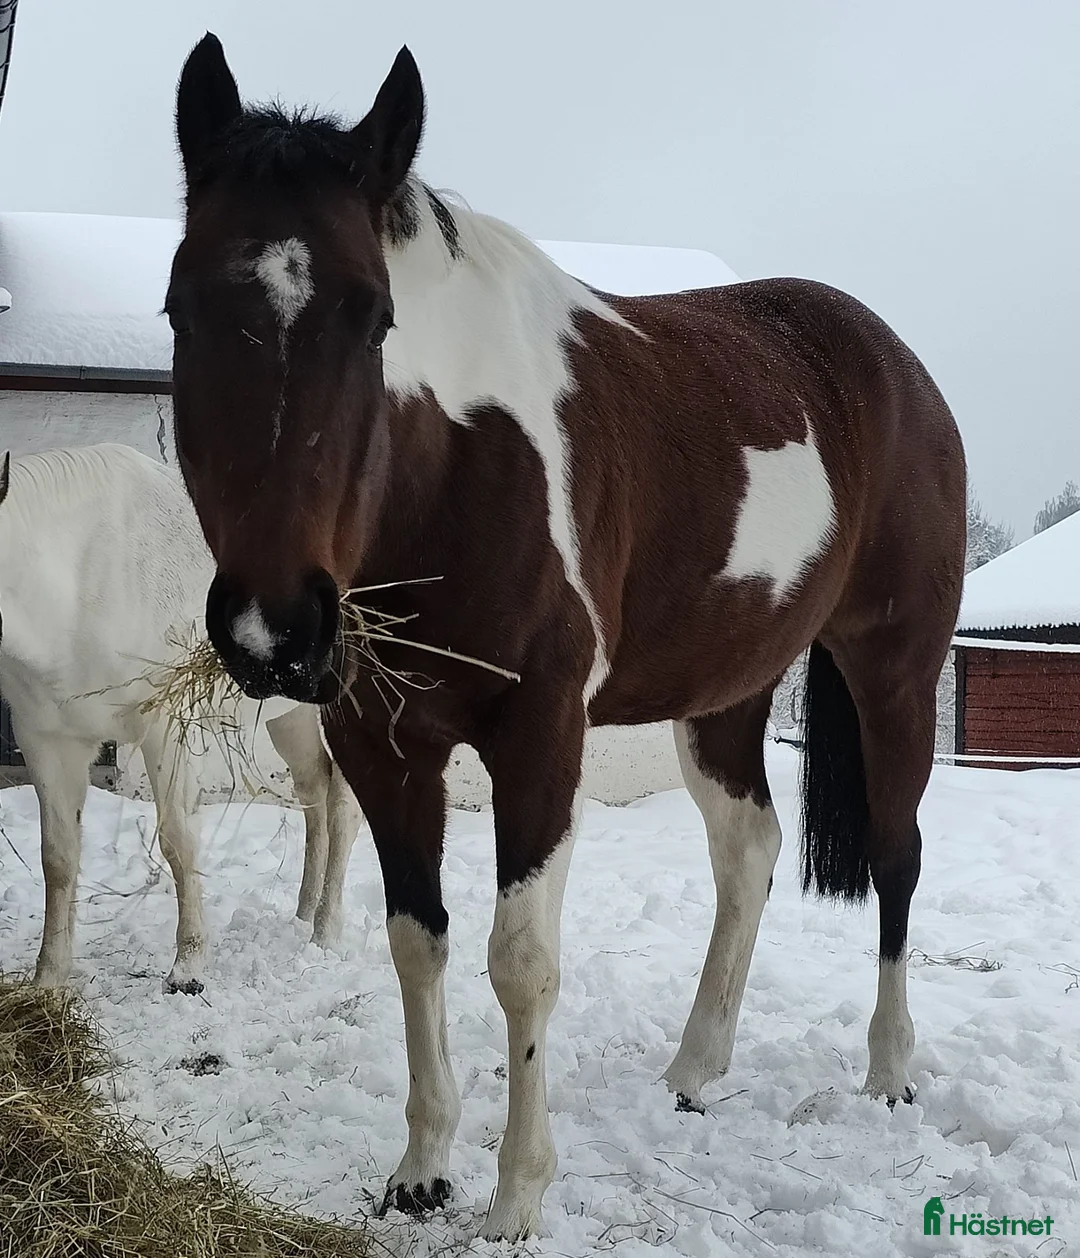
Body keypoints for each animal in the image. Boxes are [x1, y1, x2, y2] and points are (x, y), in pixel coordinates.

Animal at [0, 443, 363, 992]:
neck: (76, 582)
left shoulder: (166, 730)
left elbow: (179, 842)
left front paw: (188, 967)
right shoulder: (46, 741)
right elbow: (57, 857)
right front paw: (49, 979)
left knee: (342, 806)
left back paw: (325, 932)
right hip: (289, 714)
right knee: (313, 790)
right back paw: (303, 912)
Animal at [168, 35, 966, 1240]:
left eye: (373, 315)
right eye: (180, 308)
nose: (275, 627)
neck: (450, 468)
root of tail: (900, 370)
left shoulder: (540, 732)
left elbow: (521, 961)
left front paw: (516, 1197)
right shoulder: (382, 742)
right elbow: (417, 940)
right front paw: (423, 1169)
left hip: (897, 673)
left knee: (896, 852)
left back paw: (888, 1070)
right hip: (724, 694)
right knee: (750, 851)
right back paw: (695, 1069)